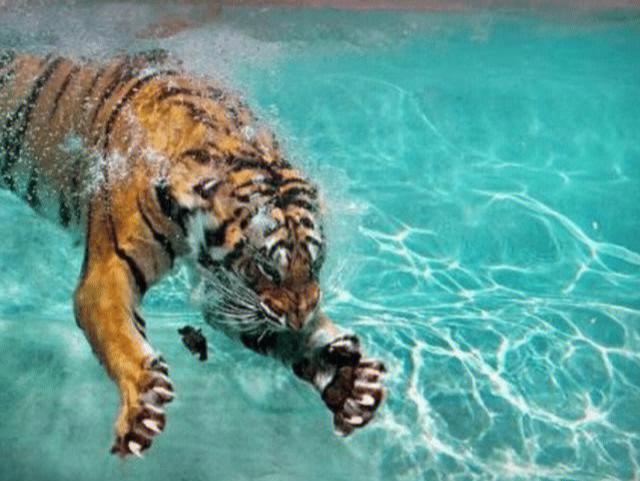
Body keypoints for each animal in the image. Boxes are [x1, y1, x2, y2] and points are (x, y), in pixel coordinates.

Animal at [0, 49, 386, 457]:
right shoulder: (110, 270)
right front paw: (142, 403)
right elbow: (120, 335)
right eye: (266, 268)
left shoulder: (228, 291)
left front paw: (349, 383)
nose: (298, 319)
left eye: (315, 264)